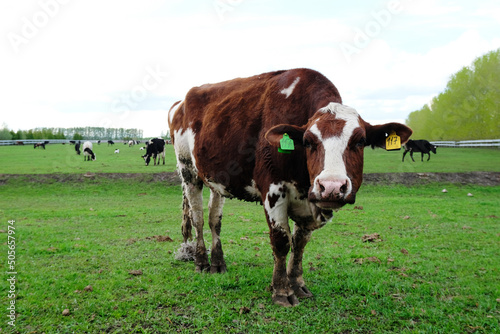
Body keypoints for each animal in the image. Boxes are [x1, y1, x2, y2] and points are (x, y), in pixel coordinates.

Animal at [168, 68, 410, 308]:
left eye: (360, 141)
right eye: (308, 141)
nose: (331, 186)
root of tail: (181, 103)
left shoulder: (309, 200)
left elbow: (300, 243)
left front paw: (297, 284)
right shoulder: (273, 191)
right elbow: (281, 241)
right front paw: (281, 290)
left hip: (216, 180)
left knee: (214, 220)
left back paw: (218, 262)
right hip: (188, 171)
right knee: (198, 218)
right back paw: (201, 261)